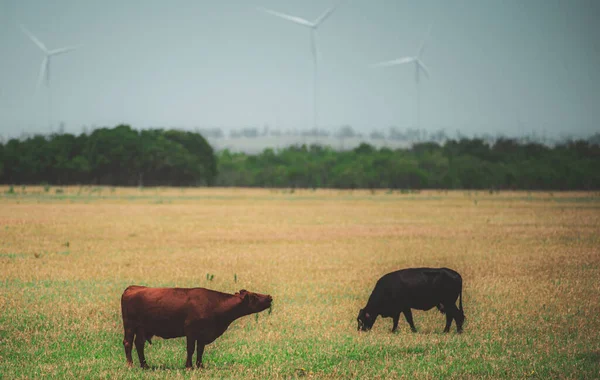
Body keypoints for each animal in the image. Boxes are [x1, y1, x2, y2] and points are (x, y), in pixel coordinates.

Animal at [120, 286, 274, 370]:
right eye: (254, 296)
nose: (269, 297)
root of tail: (133, 288)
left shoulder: (203, 334)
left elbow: (200, 350)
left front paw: (200, 365)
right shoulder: (191, 332)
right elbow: (191, 349)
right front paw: (189, 366)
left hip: (142, 329)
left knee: (139, 344)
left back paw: (145, 365)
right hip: (130, 326)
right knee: (128, 343)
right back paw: (130, 365)